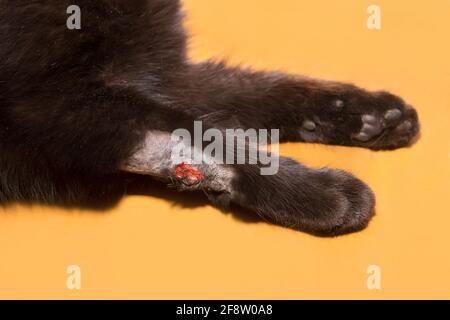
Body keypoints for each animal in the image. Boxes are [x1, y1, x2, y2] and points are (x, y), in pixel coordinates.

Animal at [0, 0, 420, 235]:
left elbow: (250, 91)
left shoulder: (164, 71)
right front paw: (319, 193)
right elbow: (206, 131)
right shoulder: (44, 104)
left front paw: (371, 115)